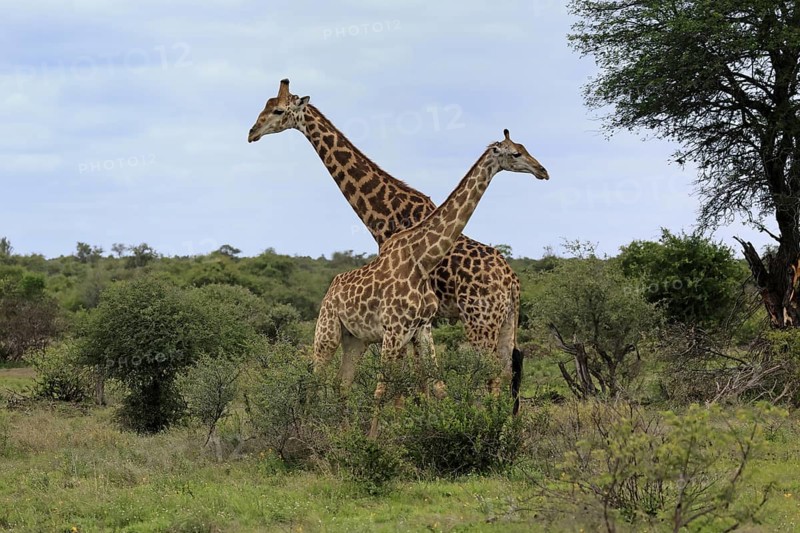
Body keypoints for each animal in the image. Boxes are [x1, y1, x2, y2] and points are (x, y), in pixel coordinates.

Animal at [248, 79, 536, 411]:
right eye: (266, 106)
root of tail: (512, 280)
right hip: (506, 320)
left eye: (278, 111)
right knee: (510, 368)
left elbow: (413, 377)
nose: (252, 133)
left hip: (480, 320)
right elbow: (420, 376)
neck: (382, 212)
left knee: (492, 374)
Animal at [312, 129, 548, 436]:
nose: (542, 171)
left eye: (523, 148)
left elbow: (427, 382)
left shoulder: (416, 328)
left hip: (363, 339)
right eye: (516, 152)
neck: (420, 256)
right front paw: (384, 435)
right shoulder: (397, 329)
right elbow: (392, 385)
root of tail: (512, 281)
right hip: (329, 331)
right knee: (317, 377)